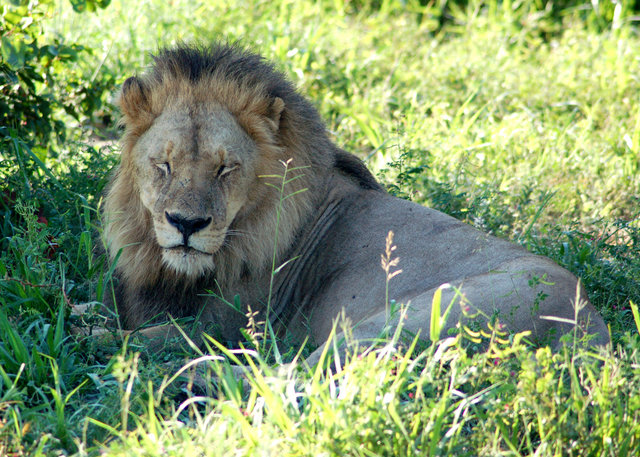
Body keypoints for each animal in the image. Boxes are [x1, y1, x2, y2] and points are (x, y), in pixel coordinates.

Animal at [97, 41, 608, 356]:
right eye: (163, 165)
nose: (186, 224)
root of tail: (589, 332)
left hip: (401, 321)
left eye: (226, 169)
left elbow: (125, 335)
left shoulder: (227, 325)